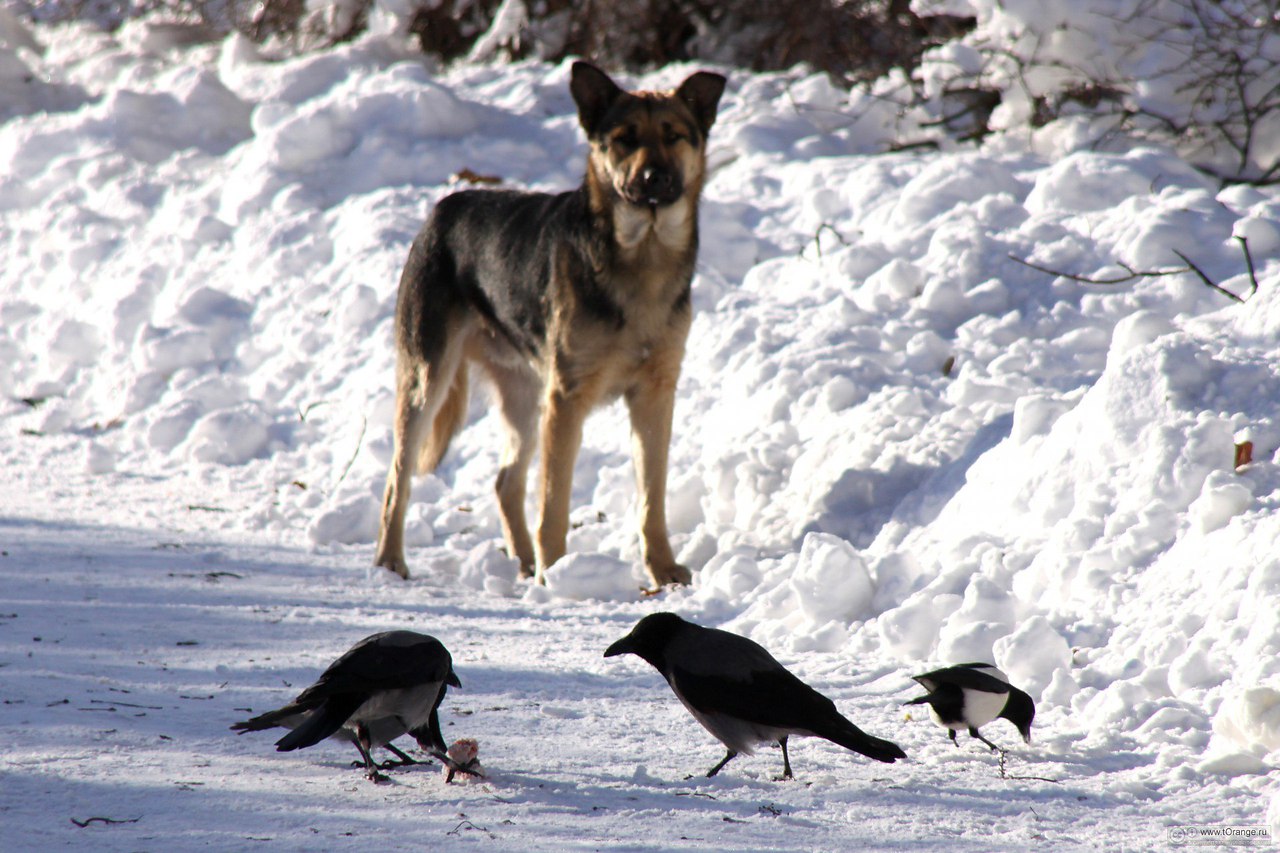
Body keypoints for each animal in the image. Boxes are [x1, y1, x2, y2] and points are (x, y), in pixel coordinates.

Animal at [373, 63, 727, 589]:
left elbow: (652, 500)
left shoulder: (655, 395)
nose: (653, 177)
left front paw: (663, 570)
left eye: (673, 135)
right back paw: (391, 561)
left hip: (523, 393)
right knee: (399, 476)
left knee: (505, 481)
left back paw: (522, 563)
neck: (642, 255)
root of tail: (441, 209)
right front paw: (557, 572)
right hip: (429, 379)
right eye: (624, 138)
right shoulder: (568, 398)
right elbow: (554, 503)